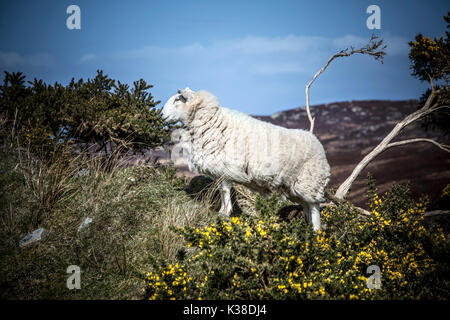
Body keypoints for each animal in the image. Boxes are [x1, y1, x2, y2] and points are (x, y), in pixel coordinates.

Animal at [162, 87, 330, 230]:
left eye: (177, 99)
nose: (162, 115)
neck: (212, 122)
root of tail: (316, 141)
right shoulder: (221, 169)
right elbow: (222, 190)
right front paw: (223, 210)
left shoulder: (226, 167)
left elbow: (224, 190)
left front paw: (225, 212)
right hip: (294, 187)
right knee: (306, 206)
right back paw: (308, 228)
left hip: (310, 182)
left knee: (314, 208)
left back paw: (316, 231)